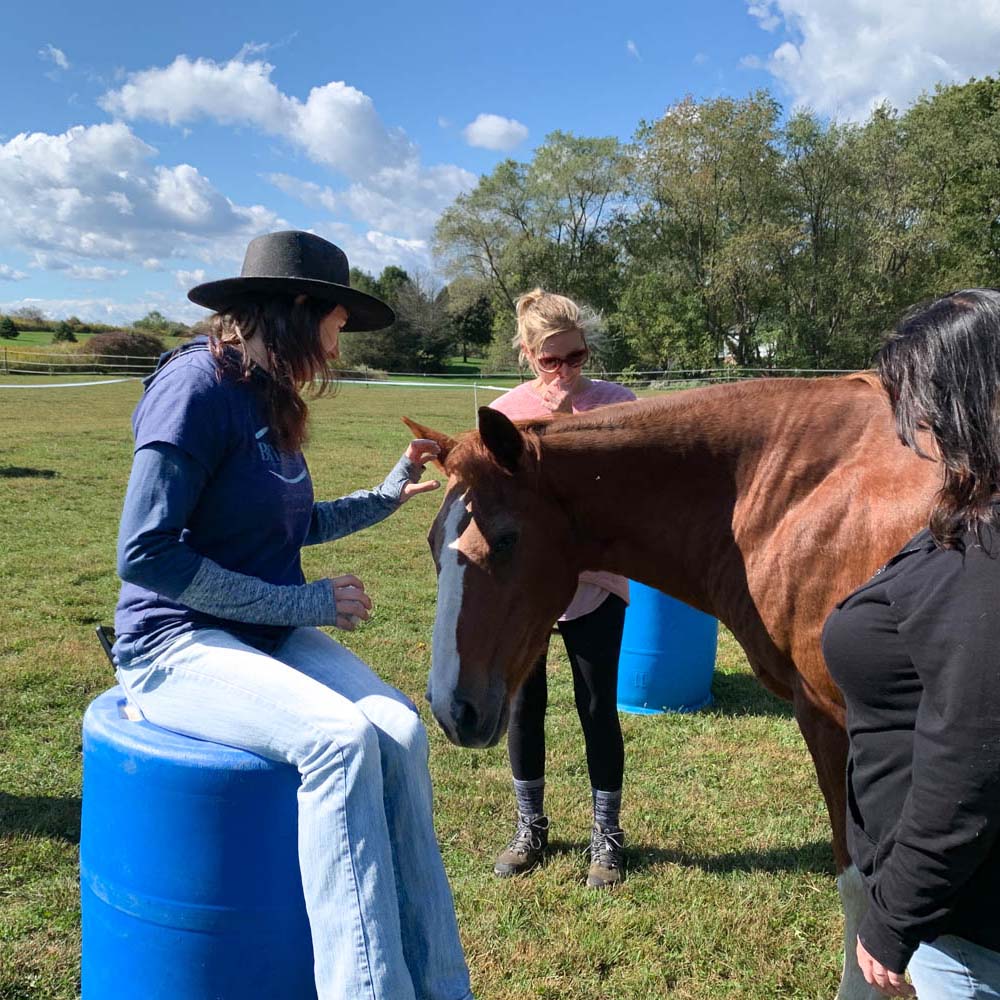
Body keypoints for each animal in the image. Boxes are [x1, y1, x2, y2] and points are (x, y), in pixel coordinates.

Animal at [404, 372, 936, 996]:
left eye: (507, 539)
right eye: (434, 543)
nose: (450, 707)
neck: (796, 495)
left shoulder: (836, 722)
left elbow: (859, 883)